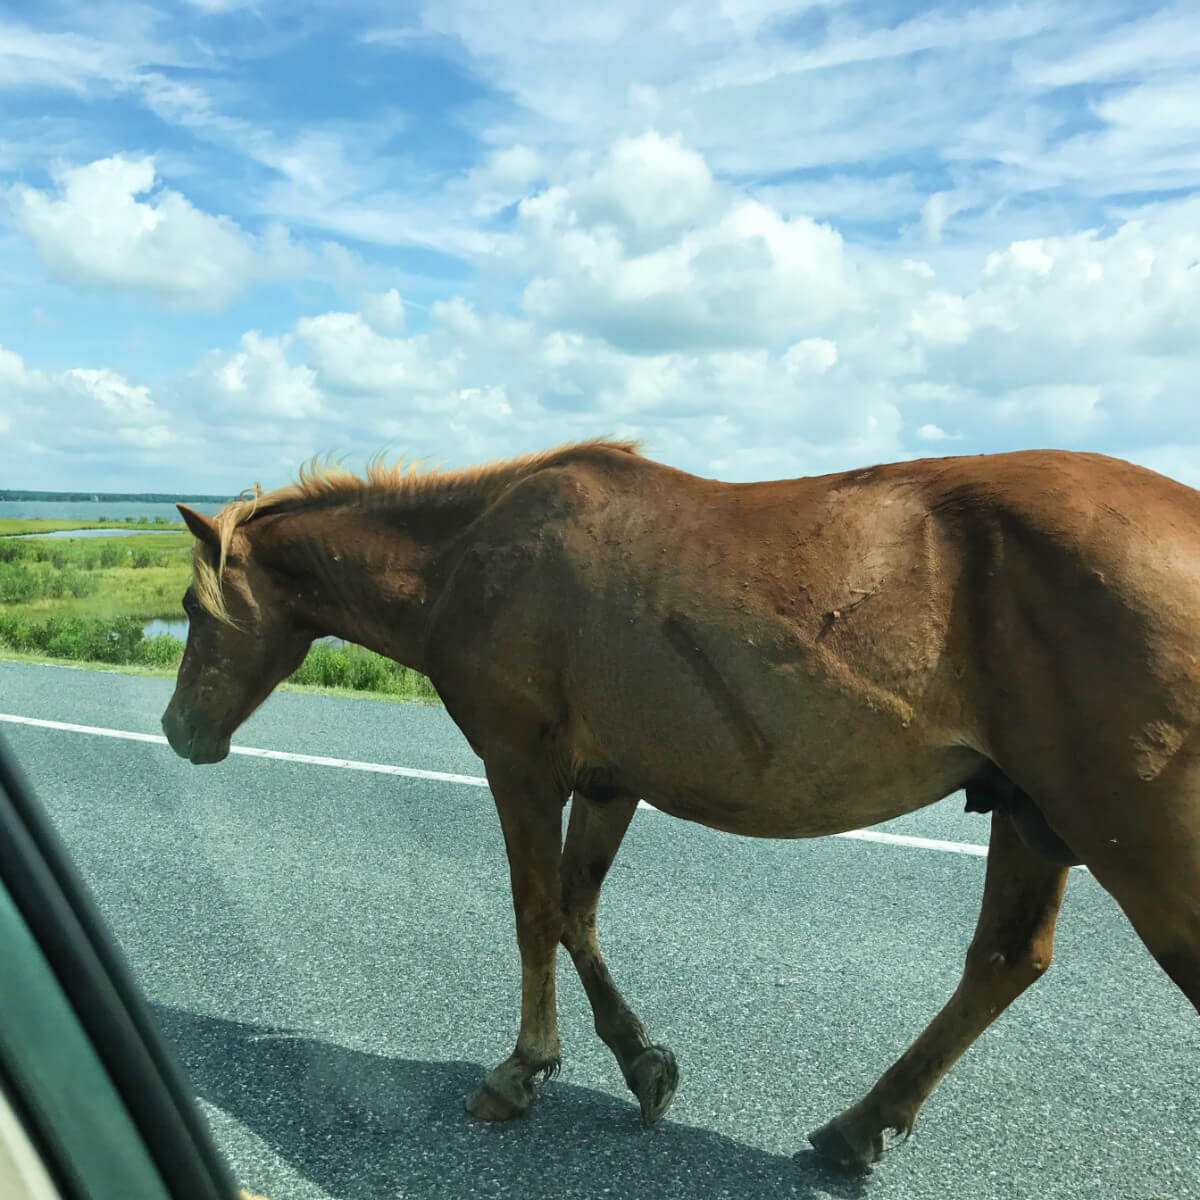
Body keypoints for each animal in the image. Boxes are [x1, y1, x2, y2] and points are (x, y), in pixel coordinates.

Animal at [162, 439, 1200, 1169]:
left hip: (1137, 849)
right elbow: (575, 912)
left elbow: (535, 911)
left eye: (191, 604)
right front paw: (639, 1063)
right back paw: (858, 1127)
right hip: (1034, 815)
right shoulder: (609, 783)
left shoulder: (521, 765)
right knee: (1001, 964)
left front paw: (521, 1071)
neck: (468, 555)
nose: (178, 730)